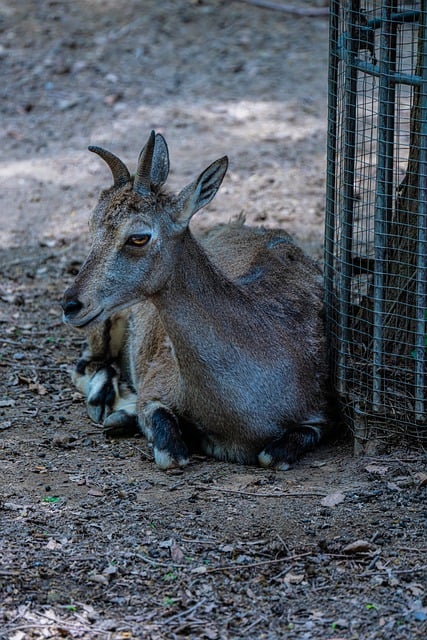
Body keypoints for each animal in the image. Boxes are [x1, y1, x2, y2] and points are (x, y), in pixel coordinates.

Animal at [62, 131, 332, 470]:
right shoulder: (156, 387)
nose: (71, 304)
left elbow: (272, 455)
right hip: (108, 321)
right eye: (91, 226)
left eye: (138, 237)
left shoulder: (319, 415)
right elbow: (171, 453)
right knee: (87, 364)